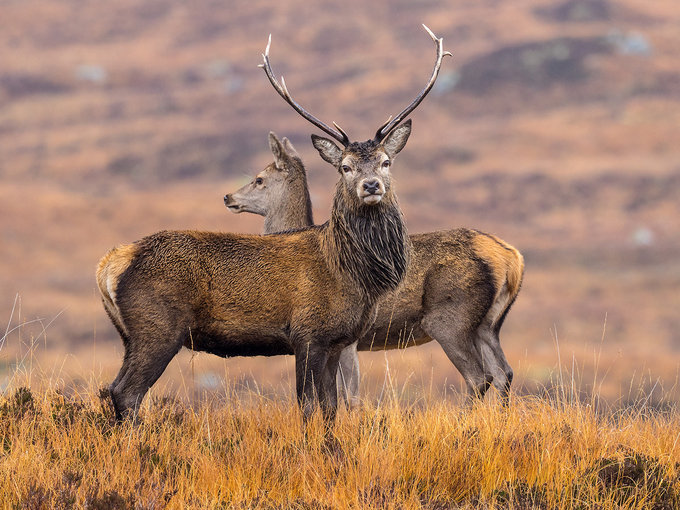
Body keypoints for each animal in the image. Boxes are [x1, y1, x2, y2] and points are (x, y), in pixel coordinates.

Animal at [94, 23, 446, 422]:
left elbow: (331, 407)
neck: (354, 274)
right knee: (126, 392)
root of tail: (111, 263)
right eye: (345, 167)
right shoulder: (307, 333)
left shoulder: (338, 339)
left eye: (386, 161)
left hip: (129, 335)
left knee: (116, 389)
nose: (370, 185)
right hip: (157, 327)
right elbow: (308, 404)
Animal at [226, 132, 524, 406]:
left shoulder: (348, 342)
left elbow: (351, 397)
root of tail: (511, 258)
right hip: (488, 324)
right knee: (504, 373)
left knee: (479, 377)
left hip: (449, 320)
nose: (229, 196)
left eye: (259, 179)